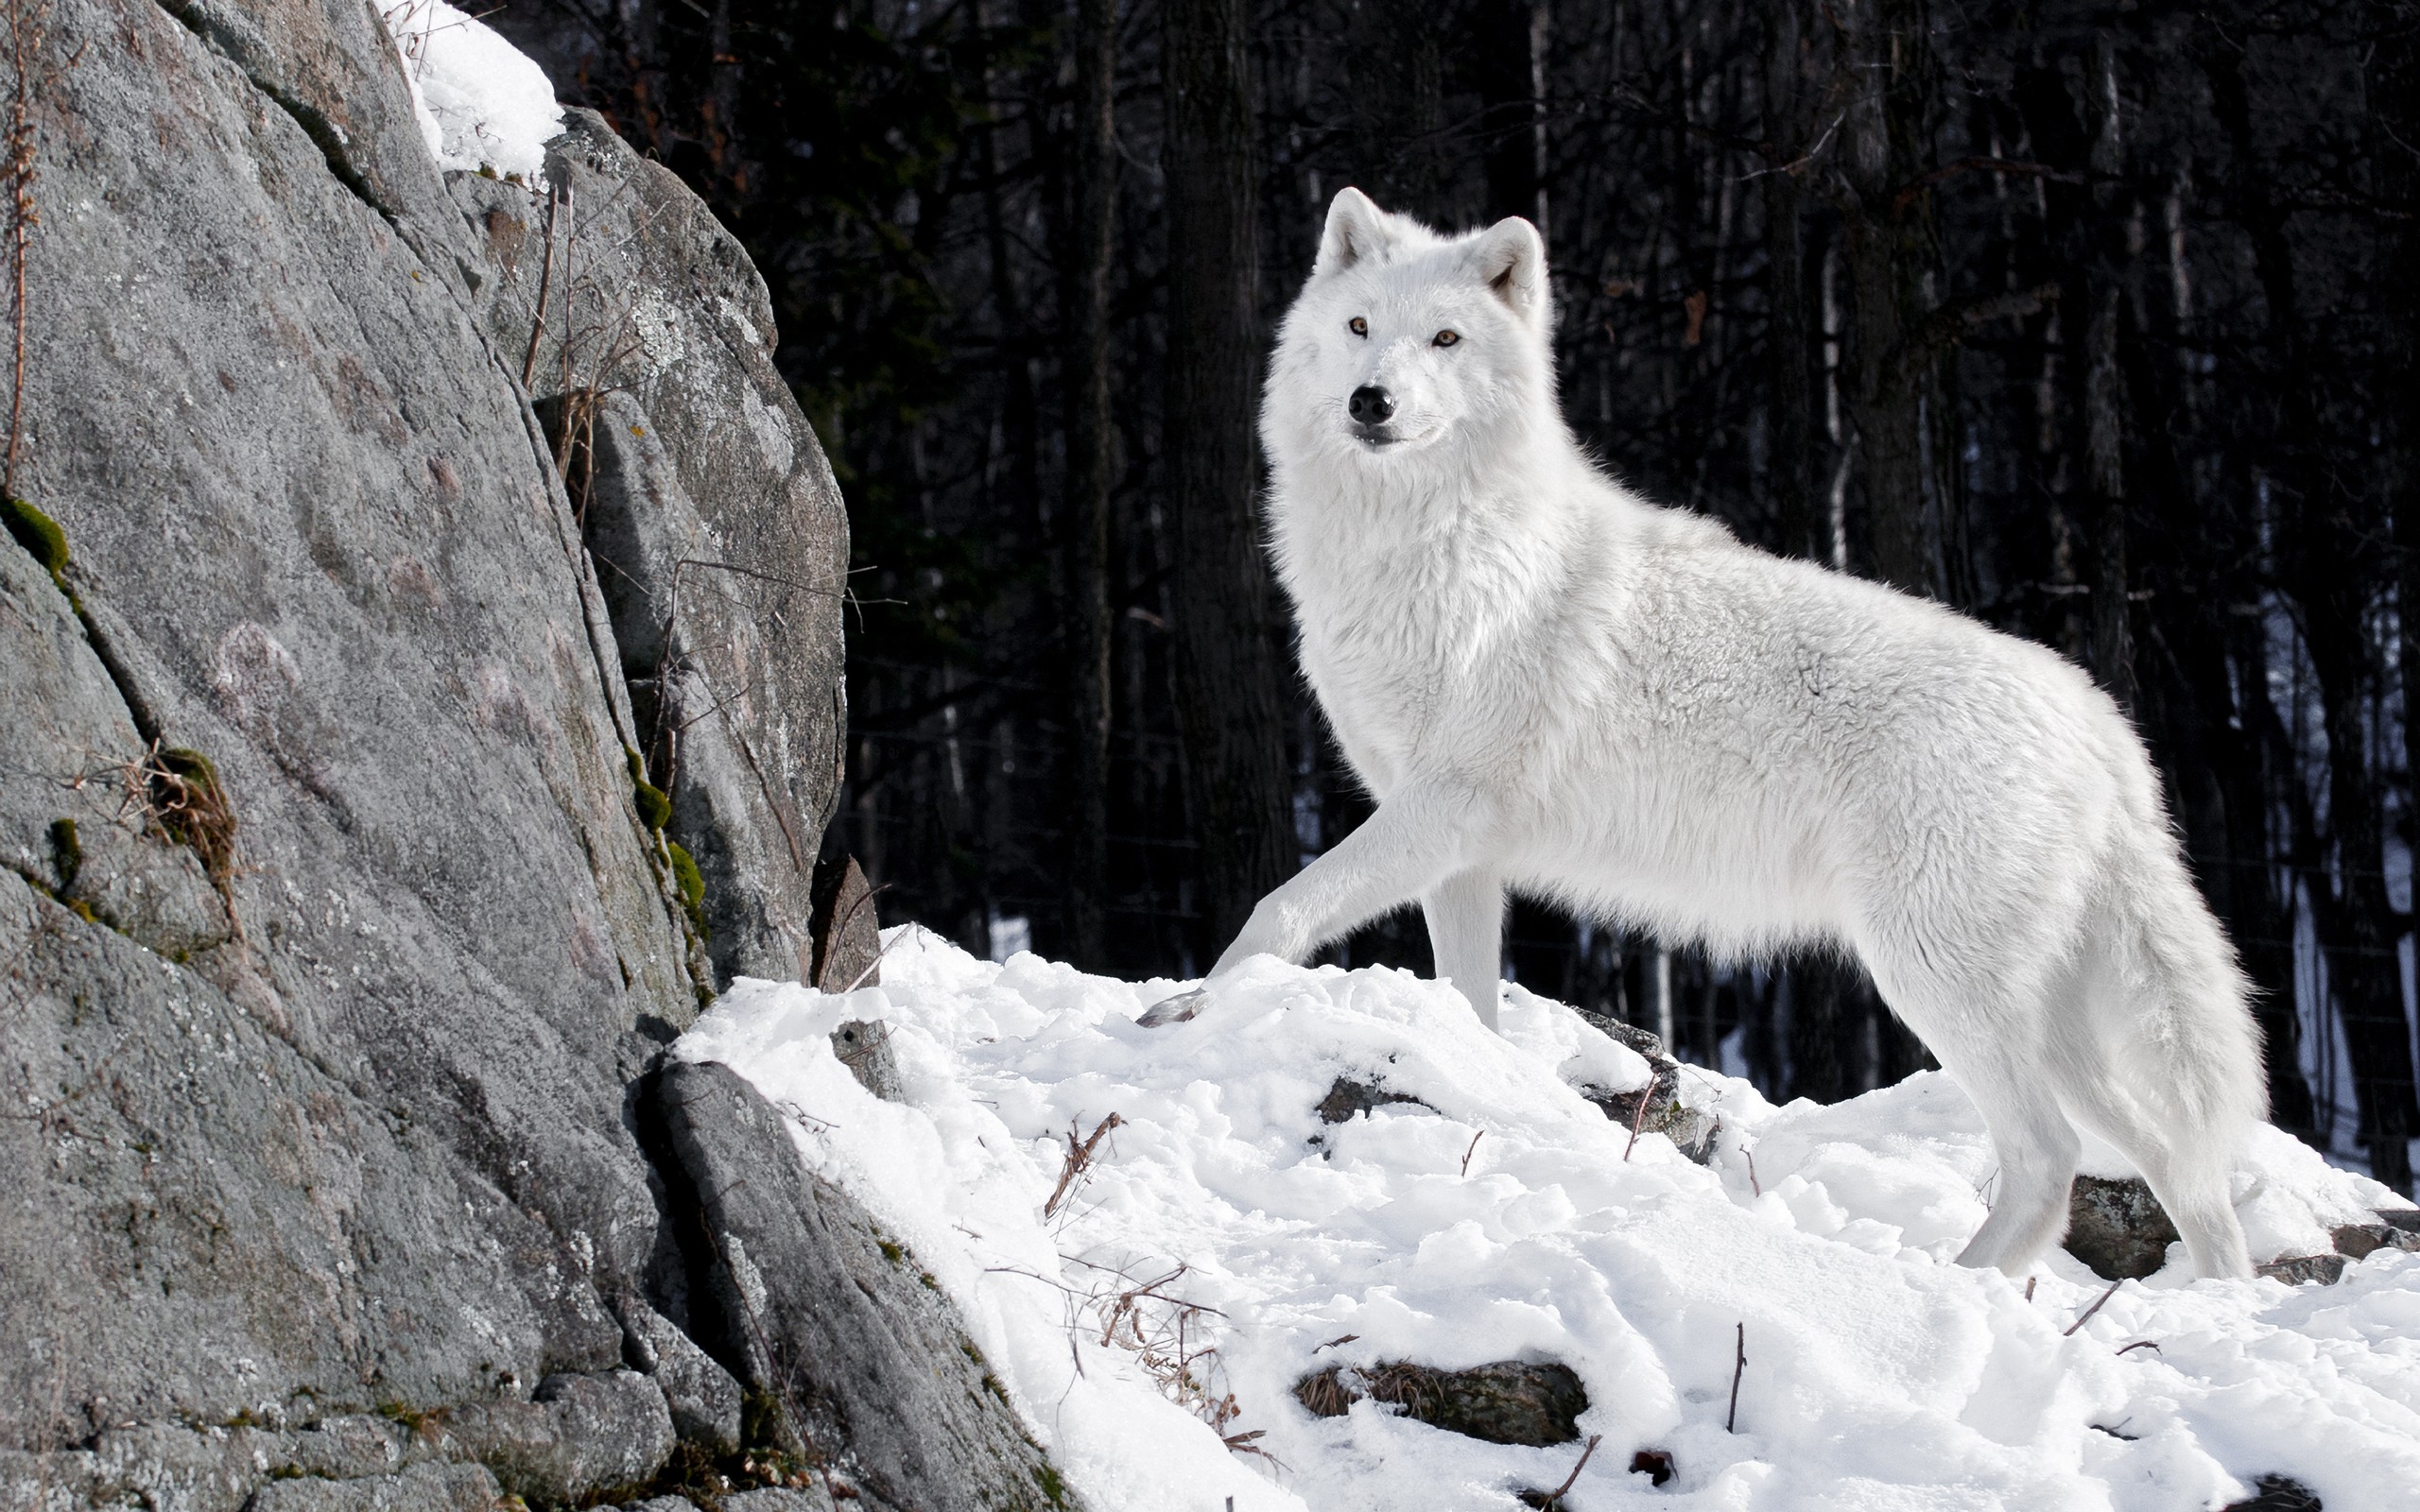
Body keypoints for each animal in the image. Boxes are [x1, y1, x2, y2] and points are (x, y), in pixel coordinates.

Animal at [1181, 182, 2255, 1277]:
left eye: (1444, 339)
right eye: (1361, 329)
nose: (1372, 402)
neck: (1429, 548)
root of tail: (2100, 722)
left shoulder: (1440, 807)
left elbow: (1277, 909)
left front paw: (1183, 1011)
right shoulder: (1456, 852)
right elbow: (1469, 1007)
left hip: (1932, 977)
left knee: (2049, 1161)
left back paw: (1949, 1288)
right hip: (2047, 1020)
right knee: (2181, 1167)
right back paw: (2214, 1299)